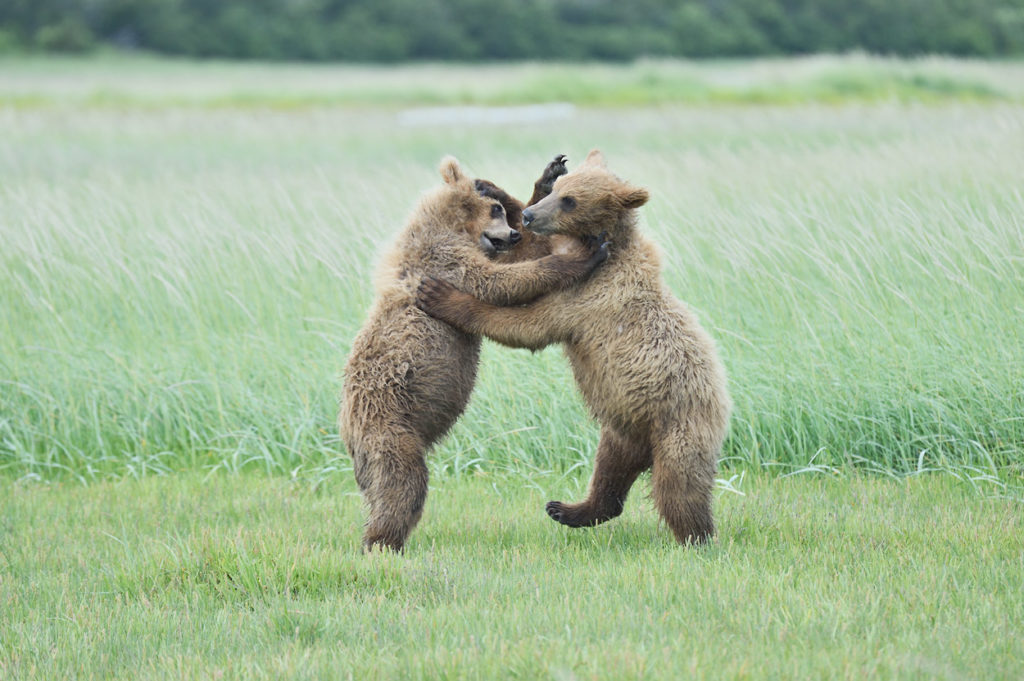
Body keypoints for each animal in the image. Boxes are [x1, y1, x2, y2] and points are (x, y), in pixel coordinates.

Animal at [339, 155, 602, 552]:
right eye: (495, 212)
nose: (511, 233)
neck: (451, 227)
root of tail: (347, 430)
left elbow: (518, 260)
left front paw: (548, 177)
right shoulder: (447, 260)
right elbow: (503, 280)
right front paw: (583, 255)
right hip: (390, 426)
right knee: (402, 484)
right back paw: (381, 542)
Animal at [419, 151, 733, 544]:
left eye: (570, 201)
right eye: (561, 191)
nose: (530, 215)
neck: (600, 245)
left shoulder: (587, 297)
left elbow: (526, 325)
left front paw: (439, 294)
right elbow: (527, 251)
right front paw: (521, 180)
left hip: (680, 425)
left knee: (679, 488)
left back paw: (697, 538)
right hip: (620, 428)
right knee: (609, 474)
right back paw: (567, 509)